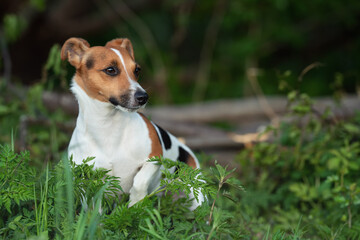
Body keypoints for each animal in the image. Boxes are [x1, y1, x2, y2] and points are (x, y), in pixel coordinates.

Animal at [60, 37, 204, 210]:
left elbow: (140, 181)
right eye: (110, 70)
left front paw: (136, 201)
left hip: (195, 192)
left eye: (137, 70)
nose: (143, 97)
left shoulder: (154, 157)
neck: (108, 127)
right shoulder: (85, 178)